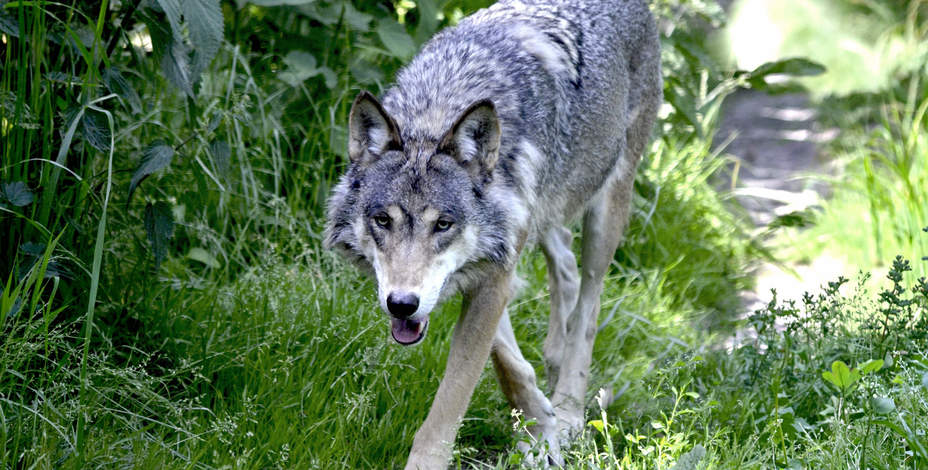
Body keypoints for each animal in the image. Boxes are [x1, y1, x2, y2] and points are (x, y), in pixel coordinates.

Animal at [325, 0, 662, 467]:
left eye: (443, 224)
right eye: (383, 220)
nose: (402, 304)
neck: (437, 110)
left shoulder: (494, 269)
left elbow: (453, 399)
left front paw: (545, 428)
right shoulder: (491, 262)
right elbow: (508, 360)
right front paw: (538, 423)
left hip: (608, 208)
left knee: (590, 304)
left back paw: (570, 409)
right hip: (545, 215)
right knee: (565, 262)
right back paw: (554, 362)